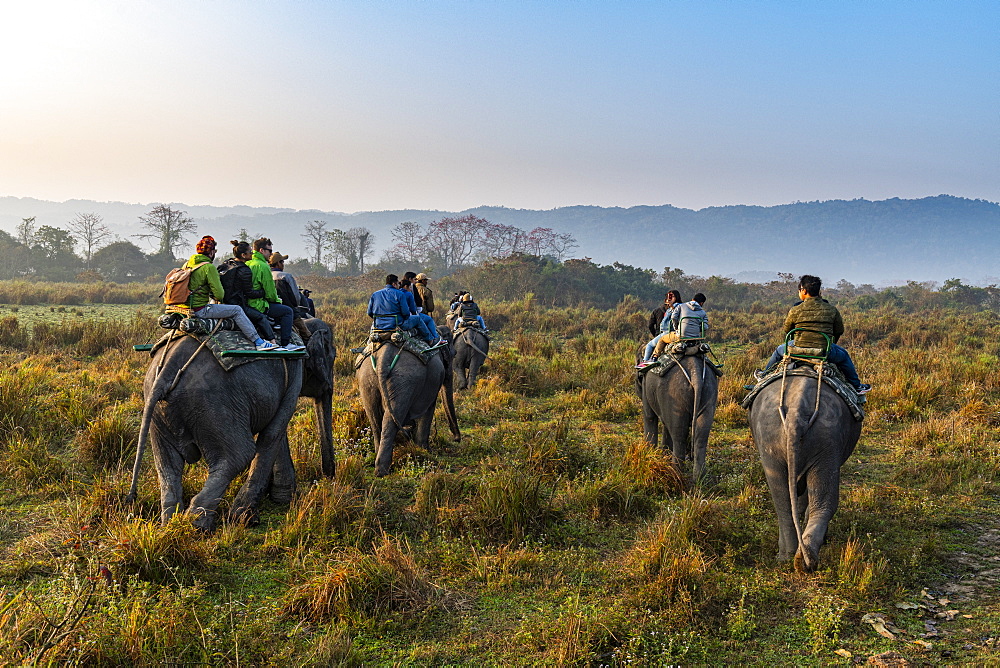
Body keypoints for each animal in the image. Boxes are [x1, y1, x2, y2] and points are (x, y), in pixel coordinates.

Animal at [127, 318, 338, 532]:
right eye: (333, 355)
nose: (327, 477)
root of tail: (168, 370)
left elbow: (277, 431)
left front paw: (281, 499)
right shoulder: (295, 373)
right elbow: (273, 432)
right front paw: (247, 518)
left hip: (159, 410)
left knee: (167, 464)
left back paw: (170, 524)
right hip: (214, 405)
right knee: (238, 455)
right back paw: (198, 526)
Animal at [356, 328, 460, 474]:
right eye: (453, 354)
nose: (456, 439)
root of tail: (383, 357)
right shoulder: (433, 383)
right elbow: (429, 409)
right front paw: (426, 451)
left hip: (366, 379)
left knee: (374, 419)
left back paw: (376, 462)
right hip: (404, 380)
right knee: (391, 419)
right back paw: (382, 471)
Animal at [640, 352, 720, 482]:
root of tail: (695, 373)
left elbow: (649, 416)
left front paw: (648, 454)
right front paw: (662, 455)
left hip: (675, 392)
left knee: (679, 437)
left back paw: (674, 476)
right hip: (710, 390)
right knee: (701, 437)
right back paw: (699, 480)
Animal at [752, 374, 860, 572]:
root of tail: (796, 413)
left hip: (773, 442)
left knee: (785, 502)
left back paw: (793, 556)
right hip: (825, 441)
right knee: (820, 502)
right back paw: (803, 557)